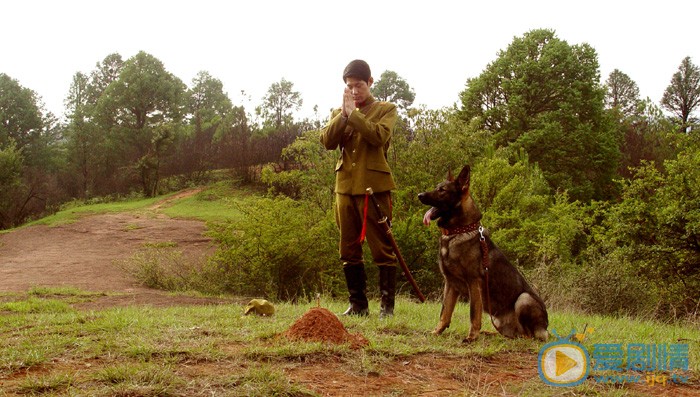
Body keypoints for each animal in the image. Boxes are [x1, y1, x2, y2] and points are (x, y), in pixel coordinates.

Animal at [418, 164, 548, 340]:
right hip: (498, 319)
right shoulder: (450, 284)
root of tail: (546, 329)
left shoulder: (474, 283)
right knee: (511, 335)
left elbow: (474, 314)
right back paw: (489, 333)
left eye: (442, 190)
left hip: (524, 298)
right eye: (437, 187)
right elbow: (444, 313)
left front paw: (471, 338)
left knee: (527, 336)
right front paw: (436, 332)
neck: (458, 231)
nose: (419, 195)